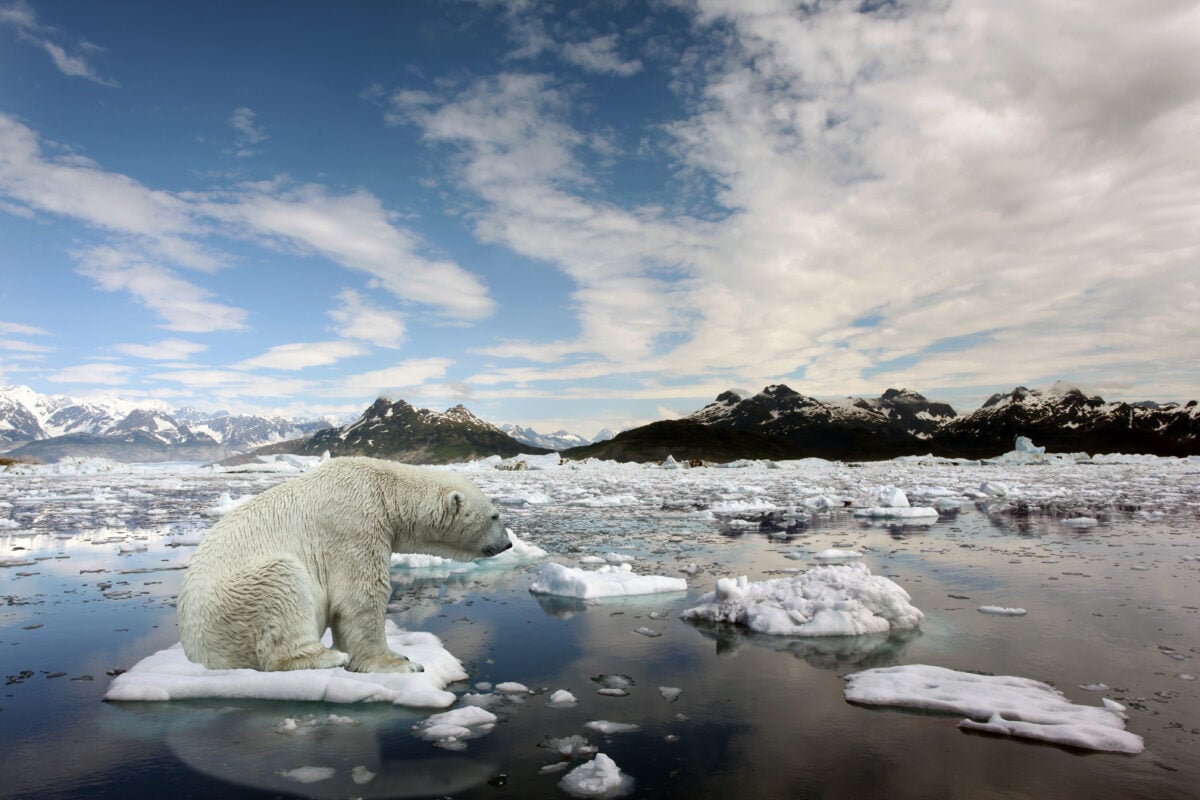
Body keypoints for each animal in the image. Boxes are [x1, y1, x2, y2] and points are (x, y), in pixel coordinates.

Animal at [177, 455, 511, 676]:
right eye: (495, 516)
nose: (508, 543)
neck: (384, 490)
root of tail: (194, 652)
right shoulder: (355, 525)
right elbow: (360, 598)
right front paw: (400, 663)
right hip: (234, 604)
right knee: (282, 582)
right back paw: (326, 657)